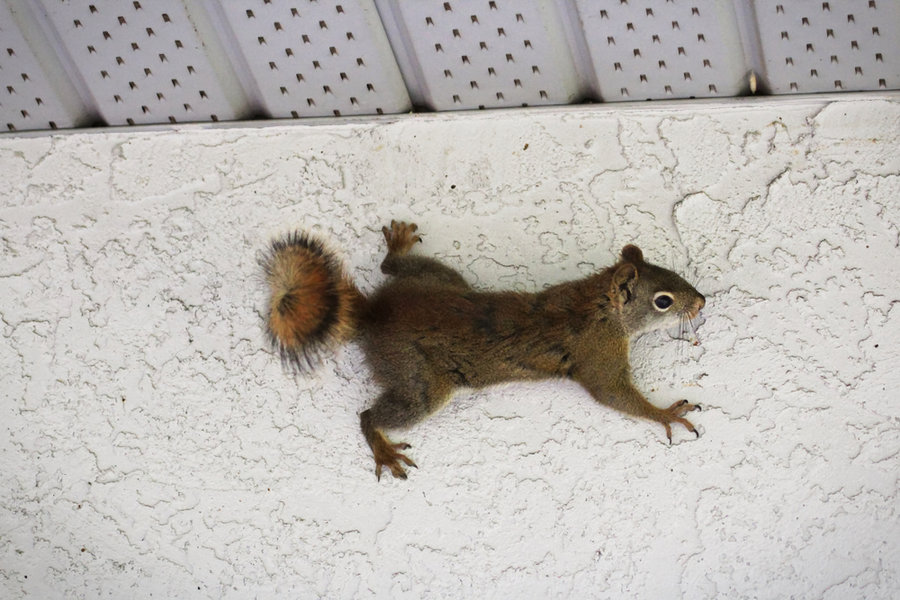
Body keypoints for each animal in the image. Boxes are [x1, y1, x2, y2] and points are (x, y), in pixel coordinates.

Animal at [264, 220, 708, 478]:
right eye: (663, 301)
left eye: (674, 272)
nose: (702, 302)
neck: (597, 304)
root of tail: (375, 314)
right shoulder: (598, 355)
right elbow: (614, 394)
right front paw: (666, 413)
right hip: (420, 380)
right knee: (370, 414)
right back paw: (383, 448)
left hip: (440, 279)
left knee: (392, 269)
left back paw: (399, 248)